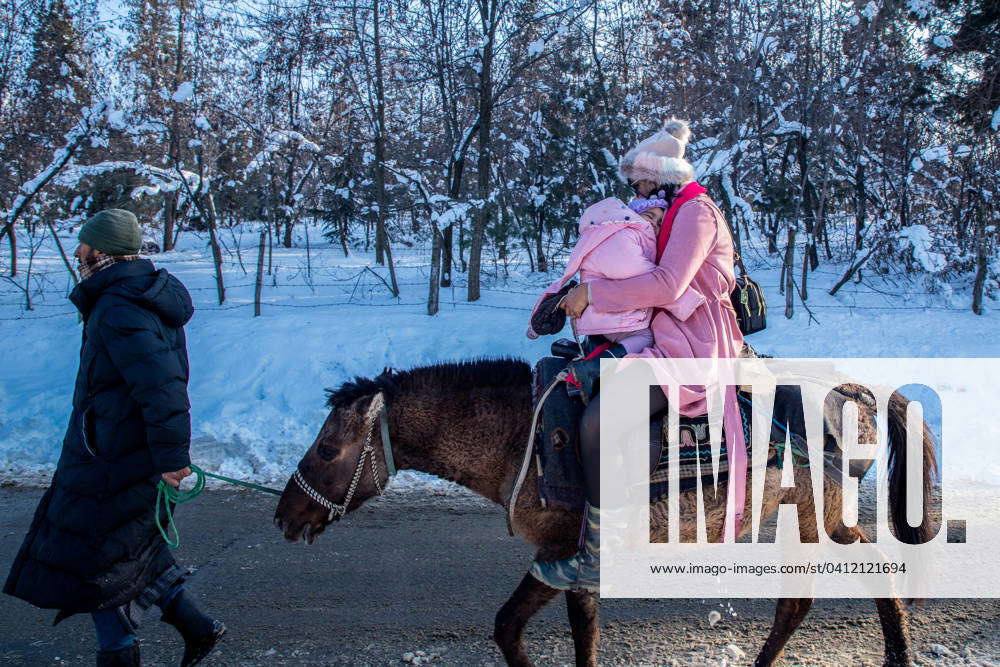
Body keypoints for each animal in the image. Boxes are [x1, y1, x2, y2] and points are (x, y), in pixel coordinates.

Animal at [274, 360, 936, 667]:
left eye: (328, 448)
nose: (285, 514)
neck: (520, 438)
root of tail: (854, 391)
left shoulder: (564, 553)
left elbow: (538, 631)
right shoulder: (567, 563)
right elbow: (534, 630)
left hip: (823, 516)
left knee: (862, 579)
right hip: (807, 517)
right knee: (810, 596)